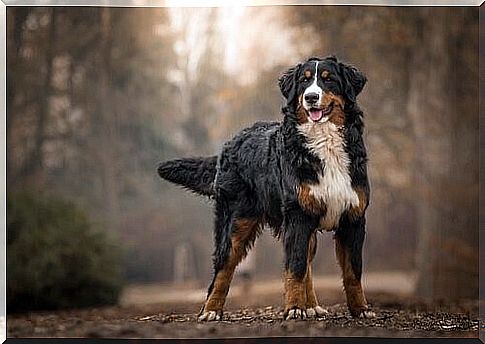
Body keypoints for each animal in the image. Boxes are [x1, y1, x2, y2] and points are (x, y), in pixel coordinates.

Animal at [157, 55, 372, 322]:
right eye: (304, 81)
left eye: (328, 79)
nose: (311, 97)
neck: (325, 143)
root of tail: (229, 144)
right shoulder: (297, 217)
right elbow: (295, 267)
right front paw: (294, 308)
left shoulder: (353, 217)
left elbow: (353, 271)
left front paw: (361, 309)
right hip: (235, 222)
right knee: (223, 267)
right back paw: (211, 310)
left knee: (307, 264)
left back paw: (312, 306)